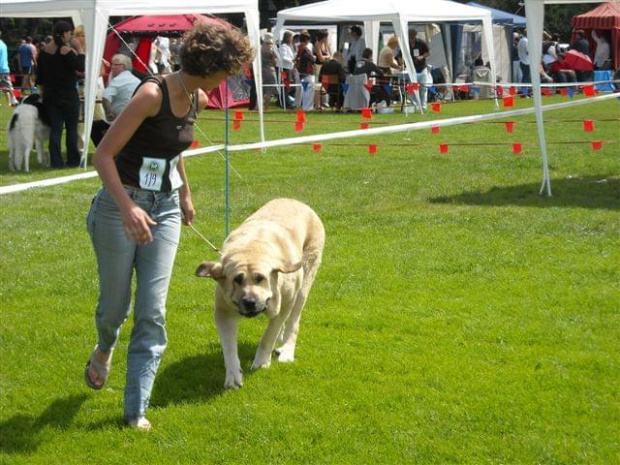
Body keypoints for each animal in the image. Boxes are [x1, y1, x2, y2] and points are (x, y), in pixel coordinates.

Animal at [197, 197, 324, 388]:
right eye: (237, 280)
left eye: (260, 278)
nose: (250, 302)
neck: (251, 250)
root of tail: (296, 201)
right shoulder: (223, 312)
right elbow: (229, 347)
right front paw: (233, 375)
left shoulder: (286, 303)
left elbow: (269, 335)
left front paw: (262, 362)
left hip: (304, 282)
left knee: (293, 321)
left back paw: (287, 350)